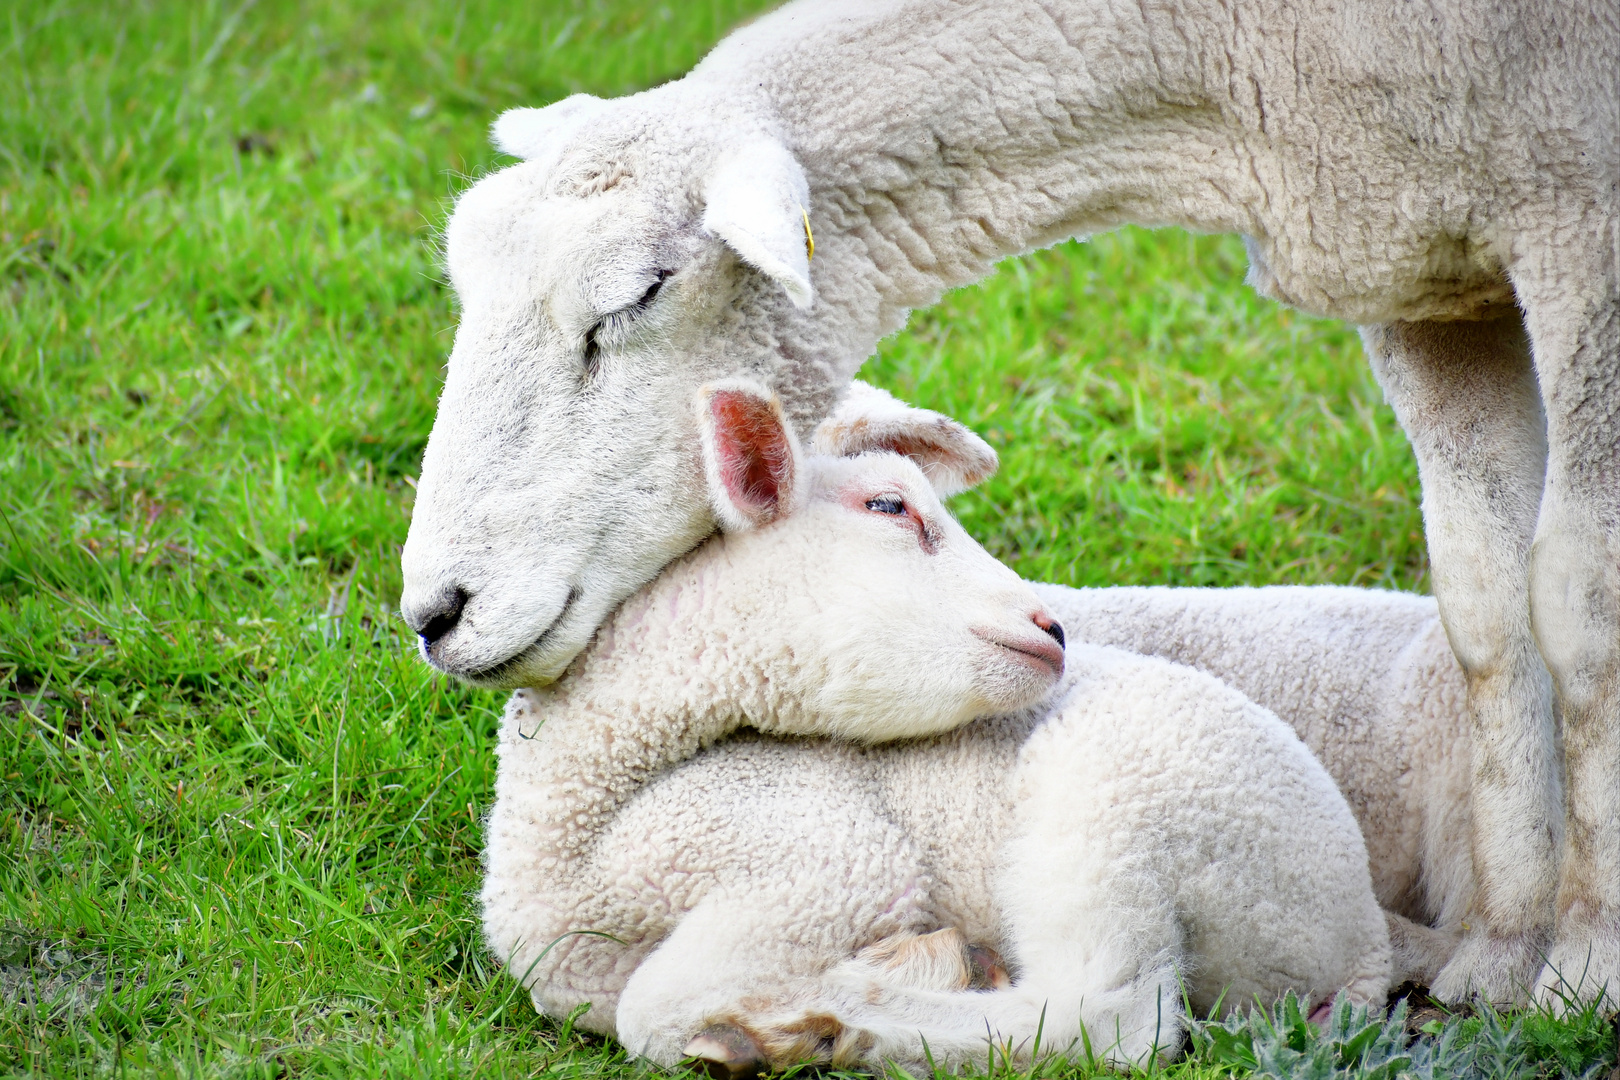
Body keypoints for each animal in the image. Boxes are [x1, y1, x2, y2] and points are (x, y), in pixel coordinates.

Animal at [401, 0, 1620, 1003]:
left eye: (637, 296)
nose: (434, 612)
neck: (1225, 72)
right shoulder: (1428, 278)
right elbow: (1485, 608)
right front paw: (1505, 952)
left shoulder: (1581, 227)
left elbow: (1579, 607)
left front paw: (1585, 967)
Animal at [476, 380, 1380, 1075]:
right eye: (890, 506)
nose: (1053, 629)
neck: (586, 818)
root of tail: (1363, 932)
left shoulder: (829, 861)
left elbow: (655, 1006)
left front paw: (779, 1021)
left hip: (1123, 806)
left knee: (1107, 1017)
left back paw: (857, 1014)